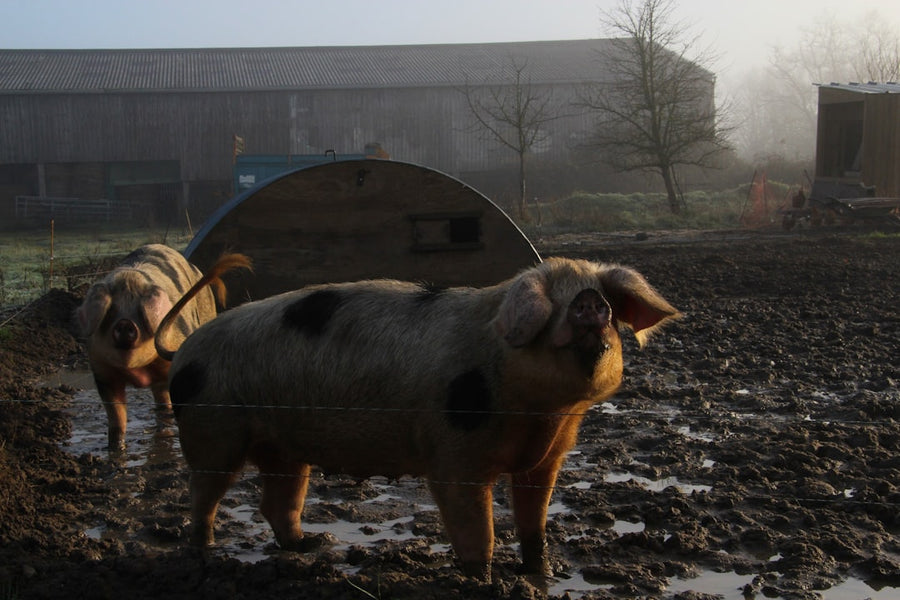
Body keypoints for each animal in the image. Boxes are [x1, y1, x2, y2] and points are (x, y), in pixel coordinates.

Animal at [77, 243, 248, 452]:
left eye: (140, 311)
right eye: (111, 311)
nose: (124, 323)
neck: (136, 368)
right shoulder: (103, 373)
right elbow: (117, 417)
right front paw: (116, 449)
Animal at [163, 256, 679, 580]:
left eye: (603, 298)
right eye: (552, 300)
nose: (591, 300)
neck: (540, 413)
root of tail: (184, 350)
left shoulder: (547, 457)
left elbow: (535, 520)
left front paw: (542, 572)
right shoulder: (453, 453)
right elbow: (474, 523)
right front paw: (483, 580)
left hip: (282, 446)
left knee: (278, 502)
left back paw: (313, 545)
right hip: (211, 431)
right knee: (202, 493)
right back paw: (205, 550)